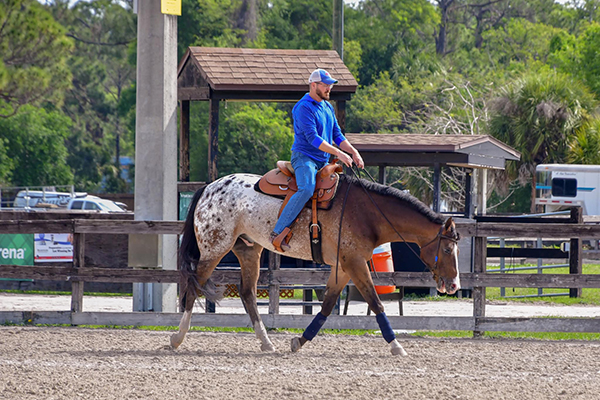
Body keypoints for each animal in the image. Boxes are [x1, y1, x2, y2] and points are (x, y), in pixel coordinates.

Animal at [171, 172, 462, 356]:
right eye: (448, 248)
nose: (454, 285)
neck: (368, 213)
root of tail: (208, 188)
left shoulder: (343, 267)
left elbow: (328, 305)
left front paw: (299, 341)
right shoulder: (355, 262)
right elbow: (376, 302)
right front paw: (396, 346)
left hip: (248, 250)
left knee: (247, 293)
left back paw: (266, 343)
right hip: (214, 249)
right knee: (192, 288)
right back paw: (177, 338)